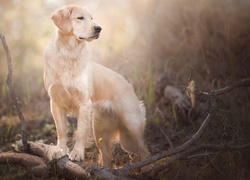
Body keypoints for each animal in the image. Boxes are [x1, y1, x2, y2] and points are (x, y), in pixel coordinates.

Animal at [43, 4, 149, 167]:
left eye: (92, 18)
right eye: (80, 18)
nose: (98, 28)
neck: (68, 54)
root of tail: (129, 85)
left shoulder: (84, 103)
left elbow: (80, 132)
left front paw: (77, 154)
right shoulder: (56, 102)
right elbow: (61, 131)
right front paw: (60, 150)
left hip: (132, 126)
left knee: (145, 151)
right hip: (101, 132)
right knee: (107, 157)